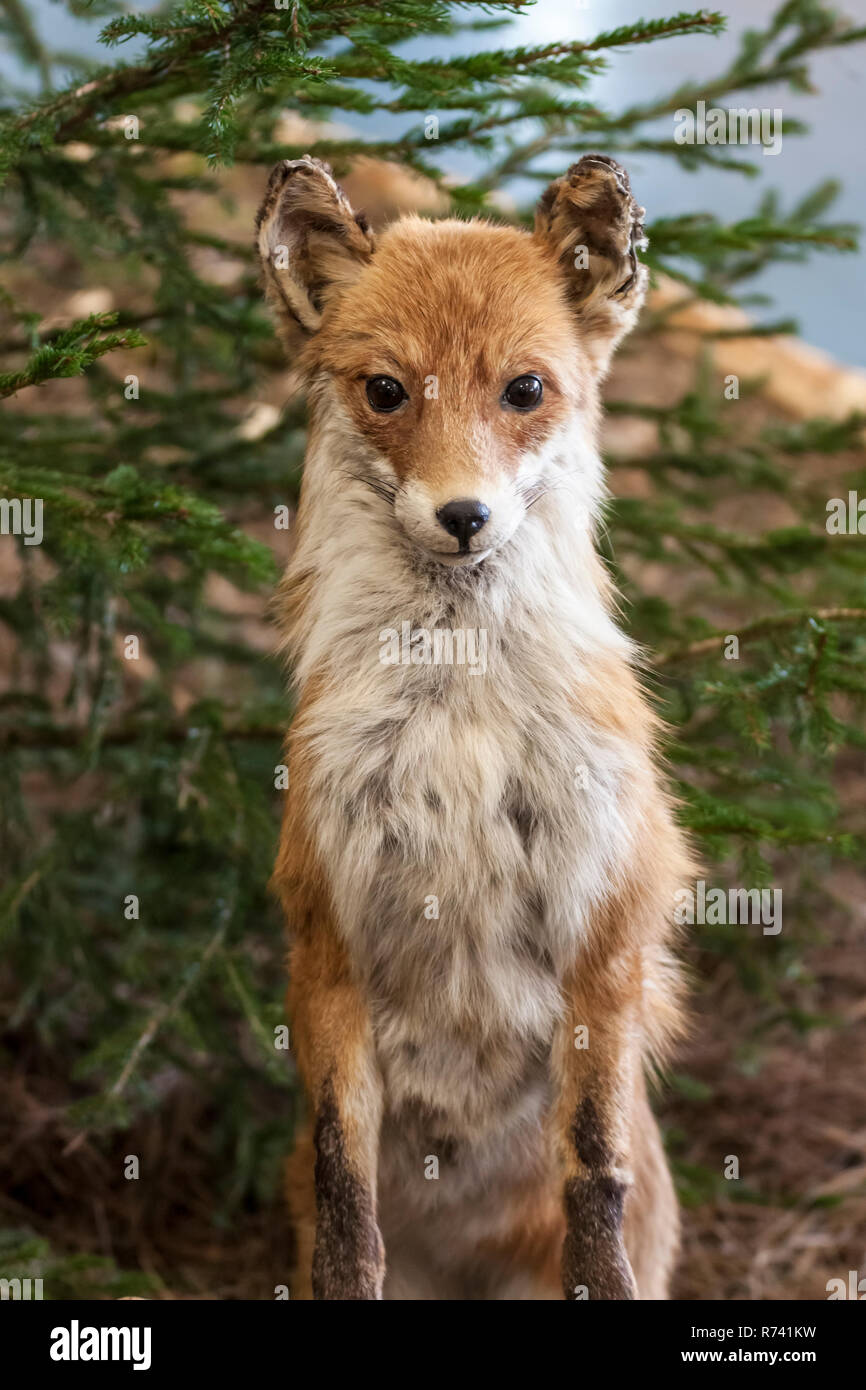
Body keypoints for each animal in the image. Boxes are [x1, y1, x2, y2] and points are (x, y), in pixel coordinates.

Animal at [258, 154, 697, 1301]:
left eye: (524, 391)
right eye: (386, 391)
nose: (463, 516)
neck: (459, 719)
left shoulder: (604, 930)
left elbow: (592, 1177)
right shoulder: (329, 936)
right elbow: (345, 1199)